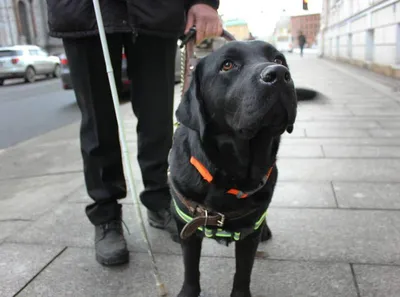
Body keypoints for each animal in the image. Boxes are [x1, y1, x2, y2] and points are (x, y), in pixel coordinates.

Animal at [168, 40, 296, 296]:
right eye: (227, 65)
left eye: (278, 59)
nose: (279, 74)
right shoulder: (189, 228)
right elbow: (190, 269)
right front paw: (188, 291)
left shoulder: (249, 232)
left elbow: (243, 273)